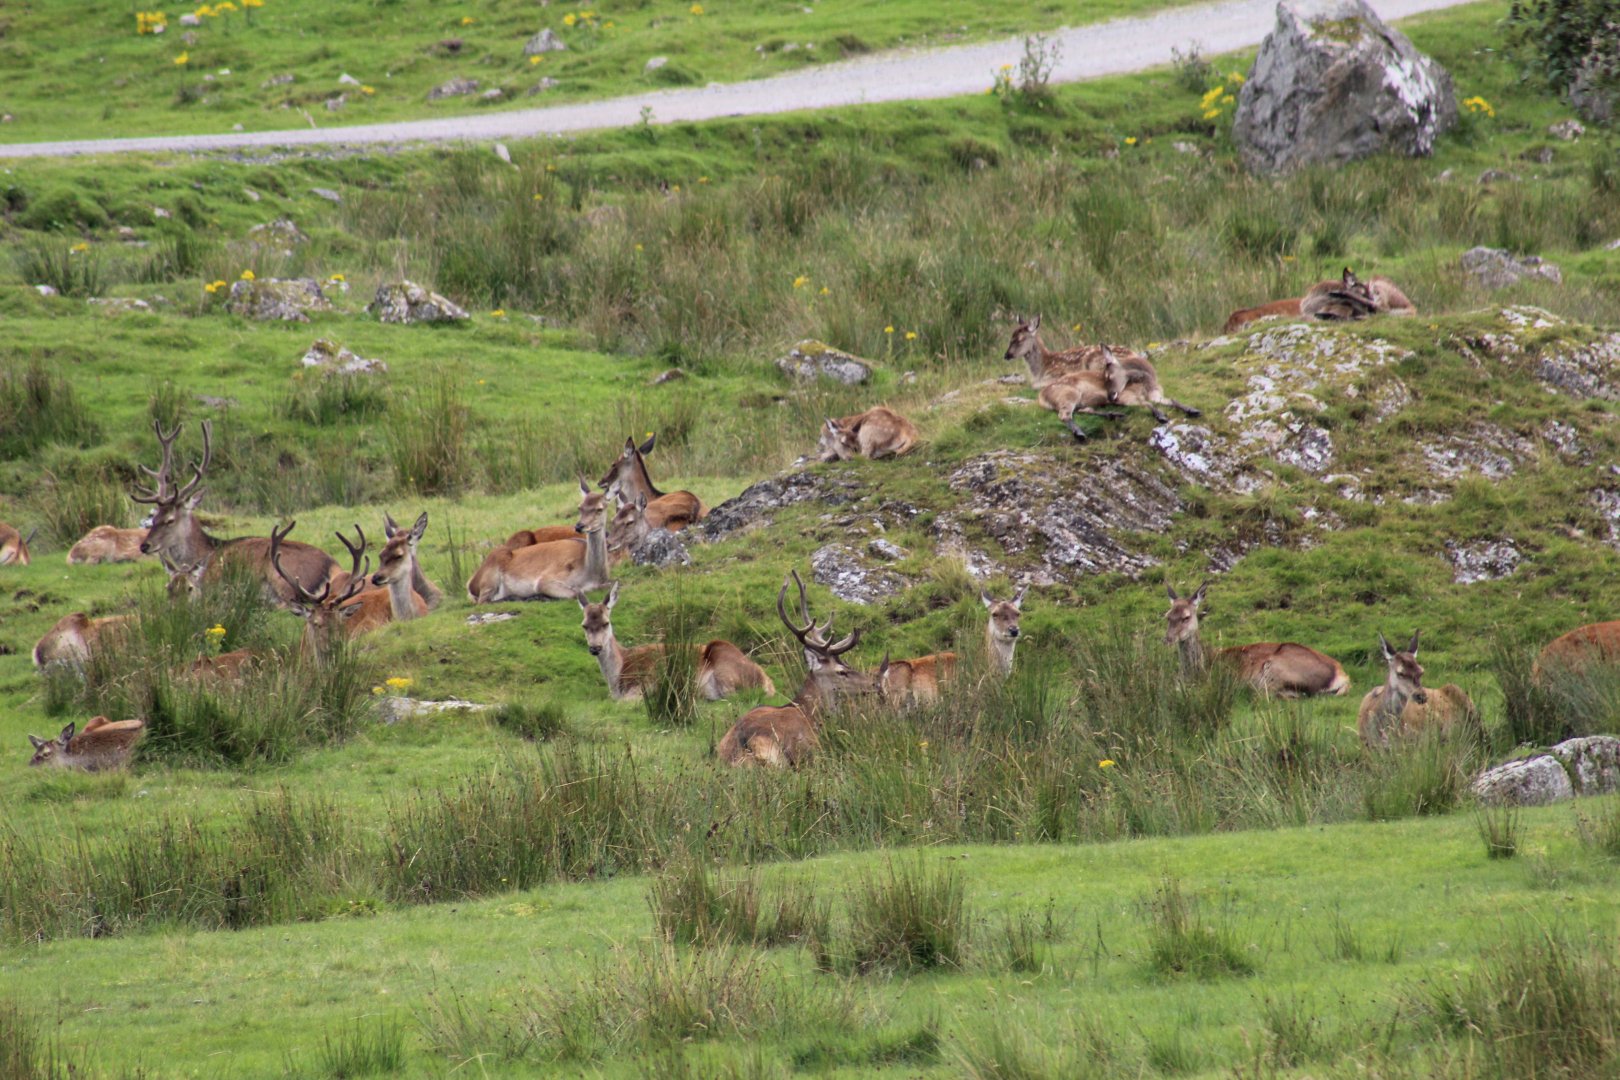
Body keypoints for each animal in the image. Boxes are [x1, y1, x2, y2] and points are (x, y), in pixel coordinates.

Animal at [132, 420, 338, 607]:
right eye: (154, 517)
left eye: (170, 520)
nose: (144, 546)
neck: (203, 552)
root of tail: (333, 566)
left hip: (281, 575)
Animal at [467, 478, 612, 603]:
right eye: (580, 507)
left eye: (599, 509)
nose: (579, 526)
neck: (591, 573)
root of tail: (470, 585)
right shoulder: (545, 579)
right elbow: (575, 592)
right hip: (490, 576)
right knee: (483, 601)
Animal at [575, 581, 776, 702]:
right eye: (584, 625)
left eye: (606, 622)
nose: (595, 648)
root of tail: (768, 682)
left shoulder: (648, 680)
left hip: (724, 662)